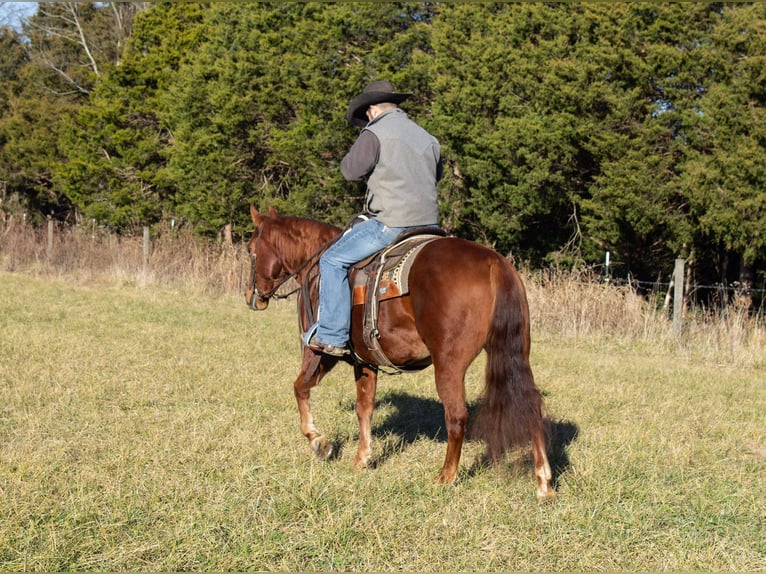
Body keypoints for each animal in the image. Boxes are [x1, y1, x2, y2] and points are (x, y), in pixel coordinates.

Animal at [249, 207, 556, 504]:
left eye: (252, 250)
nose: (254, 297)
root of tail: (494, 263)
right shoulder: (365, 361)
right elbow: (364, 407)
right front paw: (362, 458)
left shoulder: (319, 352)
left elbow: (300, 388)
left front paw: (318, 441)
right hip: (515, 352)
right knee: (530, 406)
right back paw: (543, 483)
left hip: (449, 365)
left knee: (457, 416)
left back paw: (446, 476)